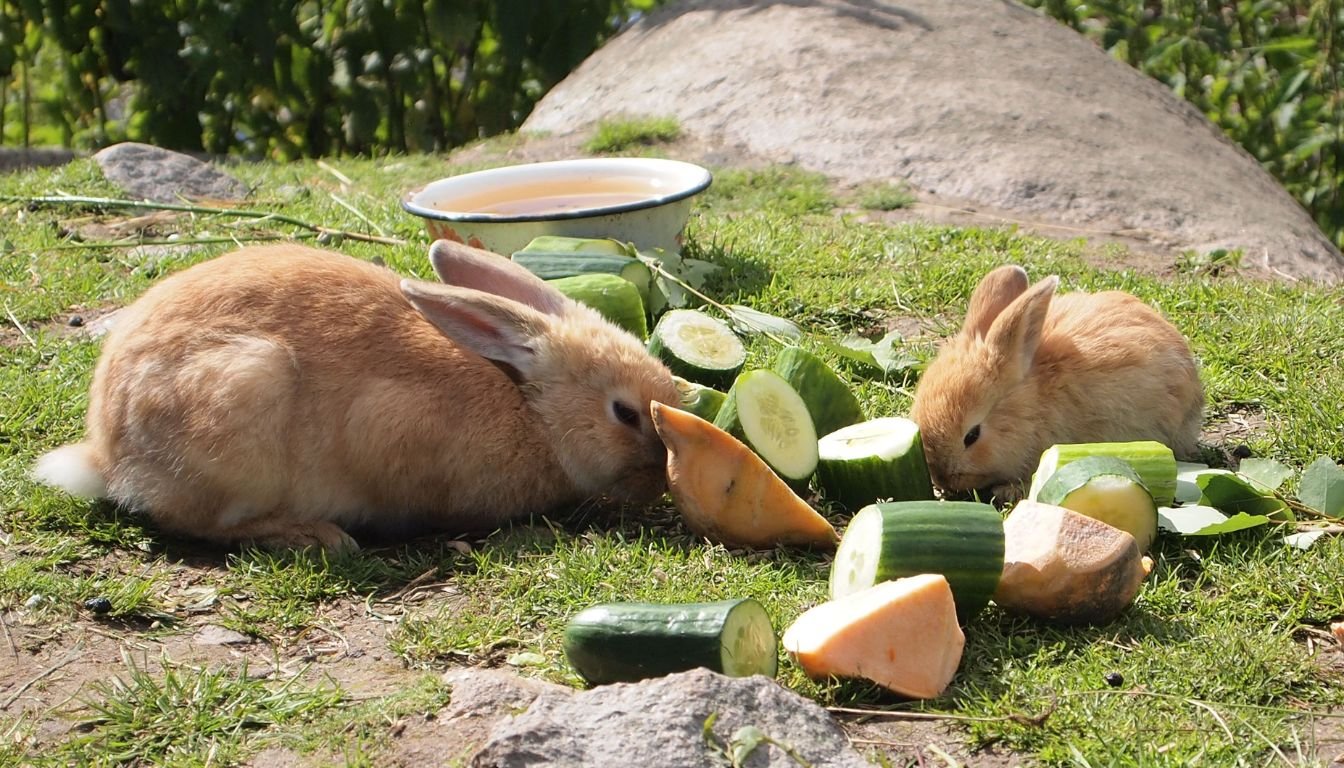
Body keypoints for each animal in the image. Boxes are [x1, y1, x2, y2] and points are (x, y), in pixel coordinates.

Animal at [33, 240, 681, 551]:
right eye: (624, 414)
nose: (659, 479)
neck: (531, 408)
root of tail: (107, 456)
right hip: (243, 397)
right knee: (196, 522)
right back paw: (312, 536)